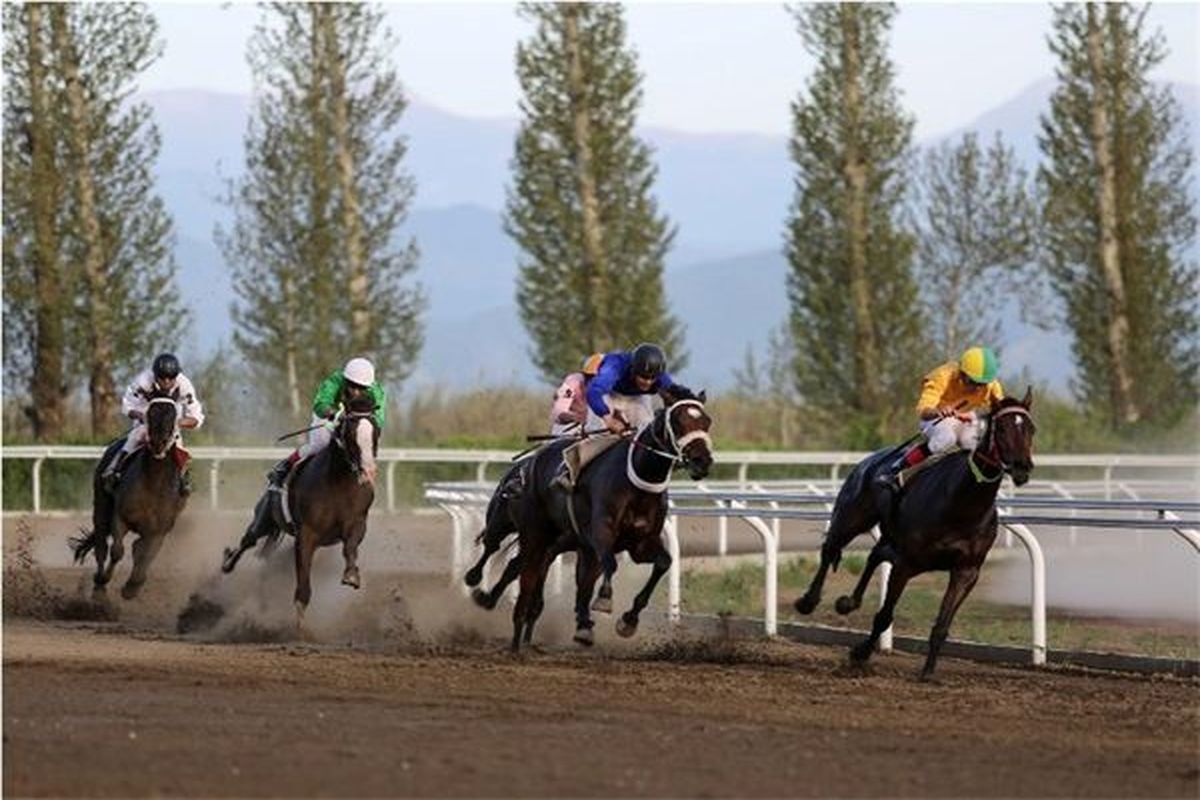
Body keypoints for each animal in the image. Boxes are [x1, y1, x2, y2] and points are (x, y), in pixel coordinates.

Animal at [72, 393, 187, 599]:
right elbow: (117, 551)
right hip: (101, 507)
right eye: (150, 412)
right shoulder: (120, 517)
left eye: (173, 415)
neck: (154, 483)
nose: (158, 443)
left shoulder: (159, 530)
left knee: (137, 549)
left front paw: (133, 586)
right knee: (101, 544)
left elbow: (146, 555)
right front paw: (104, 581)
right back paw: (99, 587)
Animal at [220, 398, 379, 628]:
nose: (368, 470)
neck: (339, 483)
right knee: (247, 541)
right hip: (264, 519)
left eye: (376, 431)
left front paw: (351, 575)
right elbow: (303, 584)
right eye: (350, 432)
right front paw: (300, 627)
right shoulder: (306, 534)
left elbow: (350, 548)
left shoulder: (357, 522)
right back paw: (227, 563)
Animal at [470, 391, 710, 652]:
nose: (702, 461)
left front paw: (627, 620)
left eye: (707, 422)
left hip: (548, 541)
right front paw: (603, 600)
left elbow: (663, 563)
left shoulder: (640, 543)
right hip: (517, 525)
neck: (638, 484)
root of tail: (529, 463)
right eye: (678, 421)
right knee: (498, 549)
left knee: (525, 569)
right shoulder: (599, 534)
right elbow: (607, 567)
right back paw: (482, 590)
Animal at [792, 391, 1036, 681]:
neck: (961, 505)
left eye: (1031, 428)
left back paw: (848, 602)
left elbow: (941, 625)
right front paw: (860, 653)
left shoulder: (966, 571)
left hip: (891, 537)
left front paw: (928, 671)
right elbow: (884, 616)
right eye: (1002, 428)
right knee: (830, 549)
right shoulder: (907, 564)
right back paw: (808, 601)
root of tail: (871, 459)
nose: (1022, 467)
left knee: (875, 554)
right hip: (852, 517)